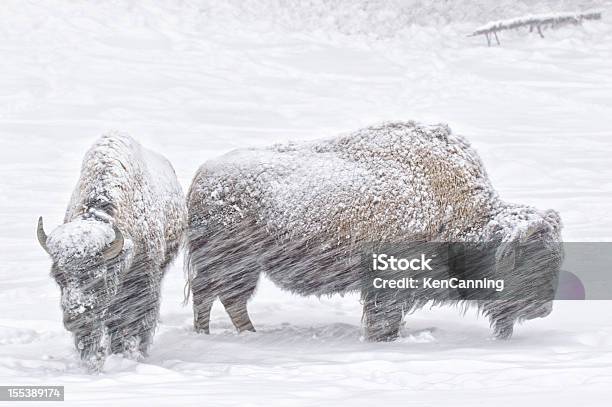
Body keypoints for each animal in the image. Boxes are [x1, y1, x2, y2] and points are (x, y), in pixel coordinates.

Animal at [186, 121, 564, 342]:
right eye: (527, 261)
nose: (542, 309)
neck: (459, 210)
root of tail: (203, 177)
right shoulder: (389, 281)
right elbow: (384, 317)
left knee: (226, 299)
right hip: (231, 264)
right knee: (213, 297)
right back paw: (216, 336)